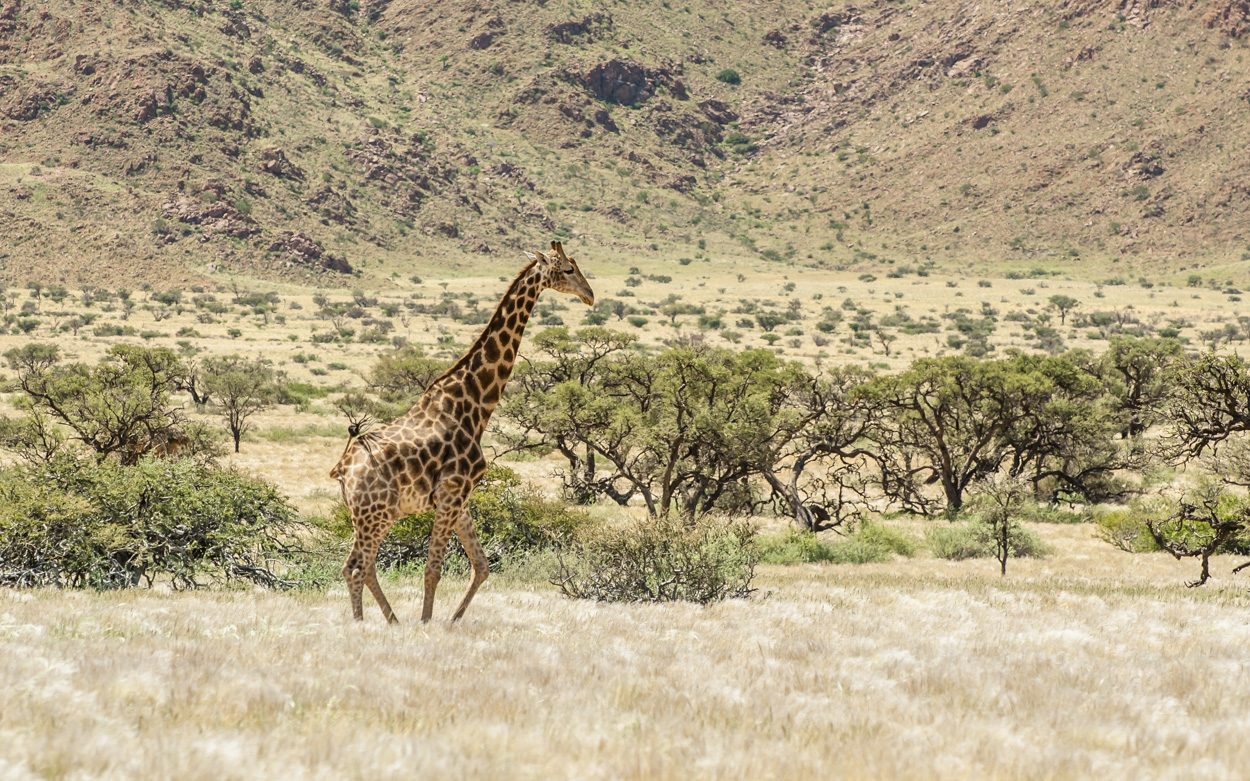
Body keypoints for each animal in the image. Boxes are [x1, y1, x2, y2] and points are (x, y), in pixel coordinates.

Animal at [332, 241, 595, 624]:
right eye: (569, 270)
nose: (590, 295)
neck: (474, 405)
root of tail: (343, 469)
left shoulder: (462, 499)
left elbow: (481, 566)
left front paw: (453, 619)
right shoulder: (451, 493)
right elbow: (433, 569)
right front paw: (427, 623)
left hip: (369, 515)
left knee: (359, 567)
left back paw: (391, 621)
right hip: (375, 513)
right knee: (355, 567)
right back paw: (363, 625)